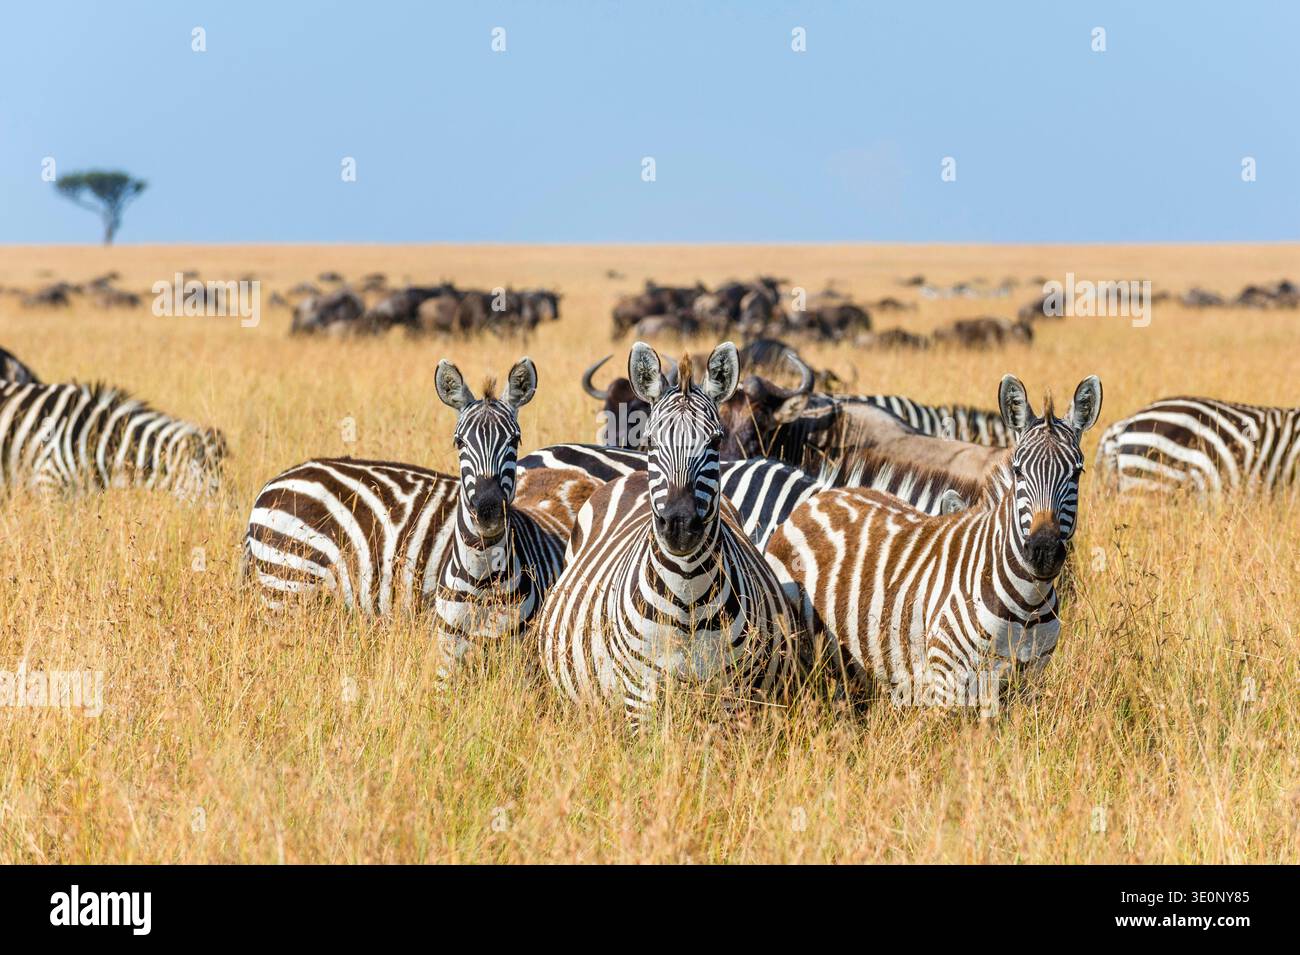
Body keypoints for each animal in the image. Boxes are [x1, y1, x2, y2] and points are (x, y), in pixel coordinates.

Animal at [536, 342, 799, 728]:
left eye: (715, 441)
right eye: (650, 439)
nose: (679, 524)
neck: (687, 598)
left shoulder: (732, 701)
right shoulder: (639, 697)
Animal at [764, 374, 1102, 713]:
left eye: (1077, 473)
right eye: (1018, 471)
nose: (1044, 552)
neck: (1027, 605)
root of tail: (822, 497)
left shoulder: (1026, 684)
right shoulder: (947, 683)